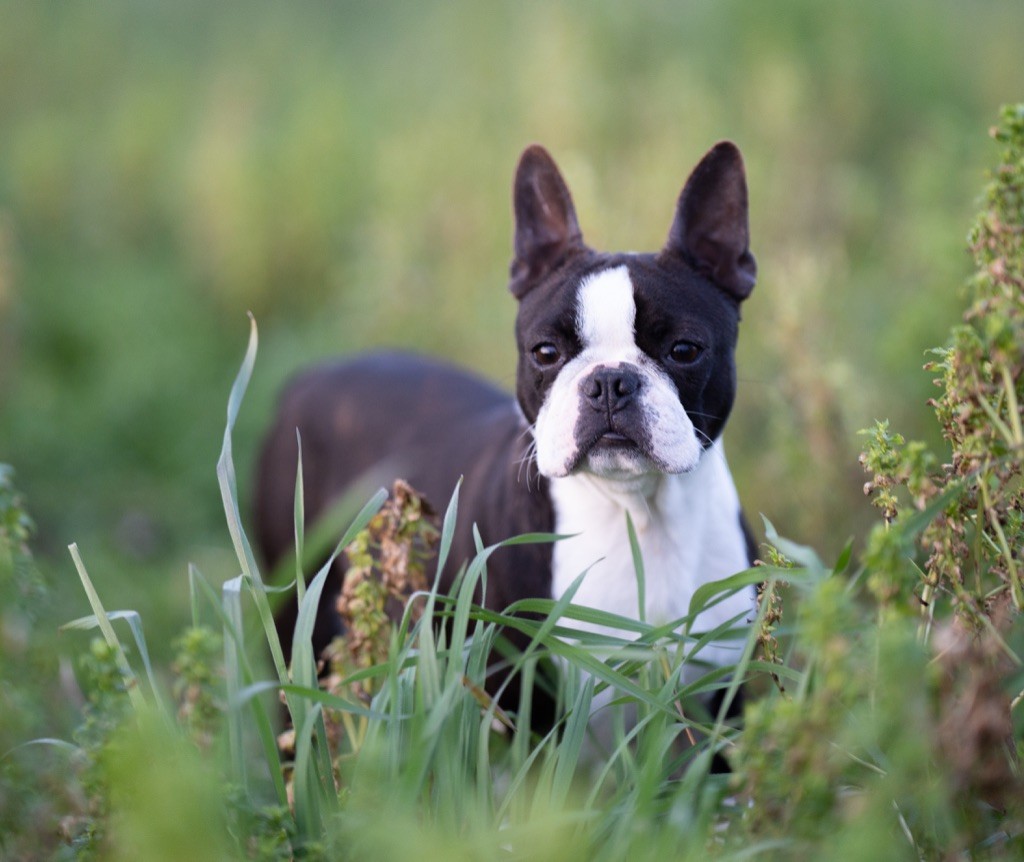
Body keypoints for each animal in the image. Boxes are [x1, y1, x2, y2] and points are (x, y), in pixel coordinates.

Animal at [251, 141, 757, 720]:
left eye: (684, 350)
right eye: (546, 352)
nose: (609, 381)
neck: (636, 516)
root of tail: (309, 377)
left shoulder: (725, 701)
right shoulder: (515, 696)